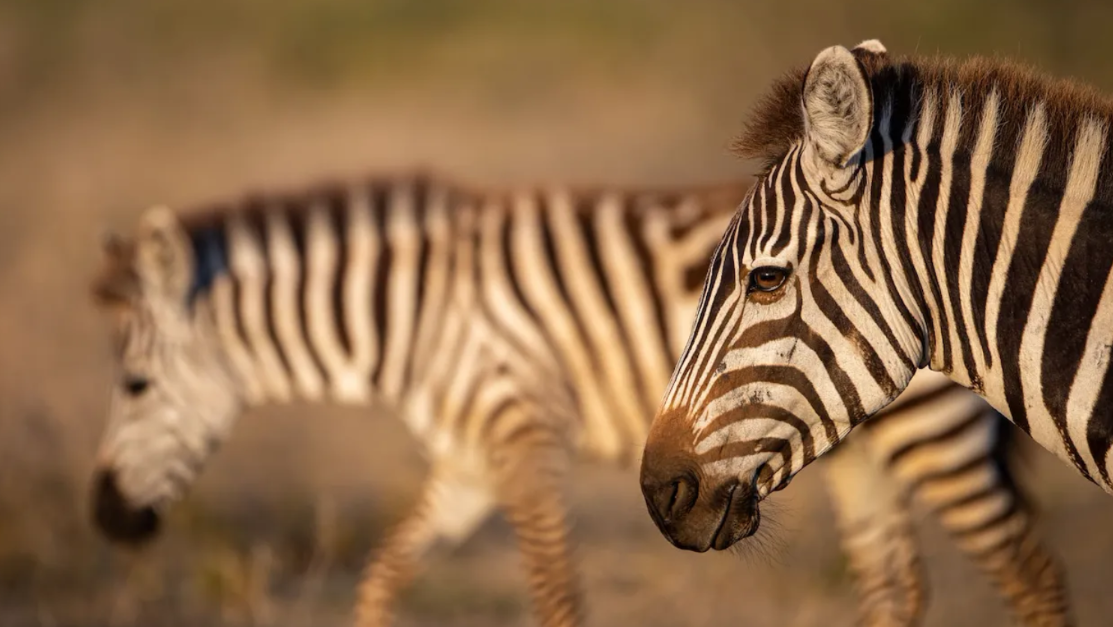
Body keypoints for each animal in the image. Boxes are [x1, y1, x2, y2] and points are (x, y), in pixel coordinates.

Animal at [88, 170, 1066, 626]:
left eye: (134, 385)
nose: (103, 518)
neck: (416, 317)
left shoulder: (521, 436)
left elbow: (555, 594)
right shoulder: (469, 462)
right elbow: (382, 574)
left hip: (933, 432)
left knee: (1029, 570)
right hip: (865, 447)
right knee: (897, 585)